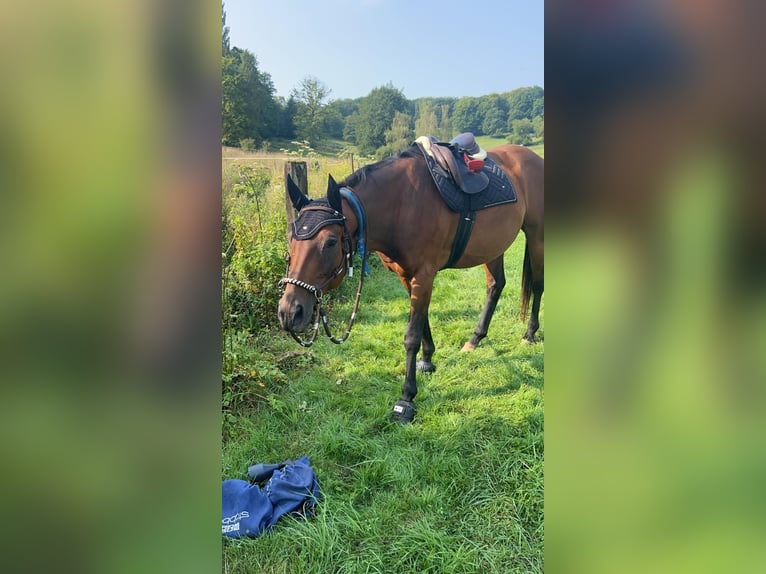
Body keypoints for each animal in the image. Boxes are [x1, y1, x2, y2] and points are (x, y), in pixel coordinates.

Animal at [280, 144, 544, 424]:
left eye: (330, 242)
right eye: (291, 236)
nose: (289, 312)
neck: (401, 205)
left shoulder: (424, 274)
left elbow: (411, 335)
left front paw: (406, 398)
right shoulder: (406, 275)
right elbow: (423, 319)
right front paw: (427, 360)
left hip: (537, 236)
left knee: (538, 286)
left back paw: (529, 333)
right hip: (492, 246)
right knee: (496, 285)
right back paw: (475, 339)